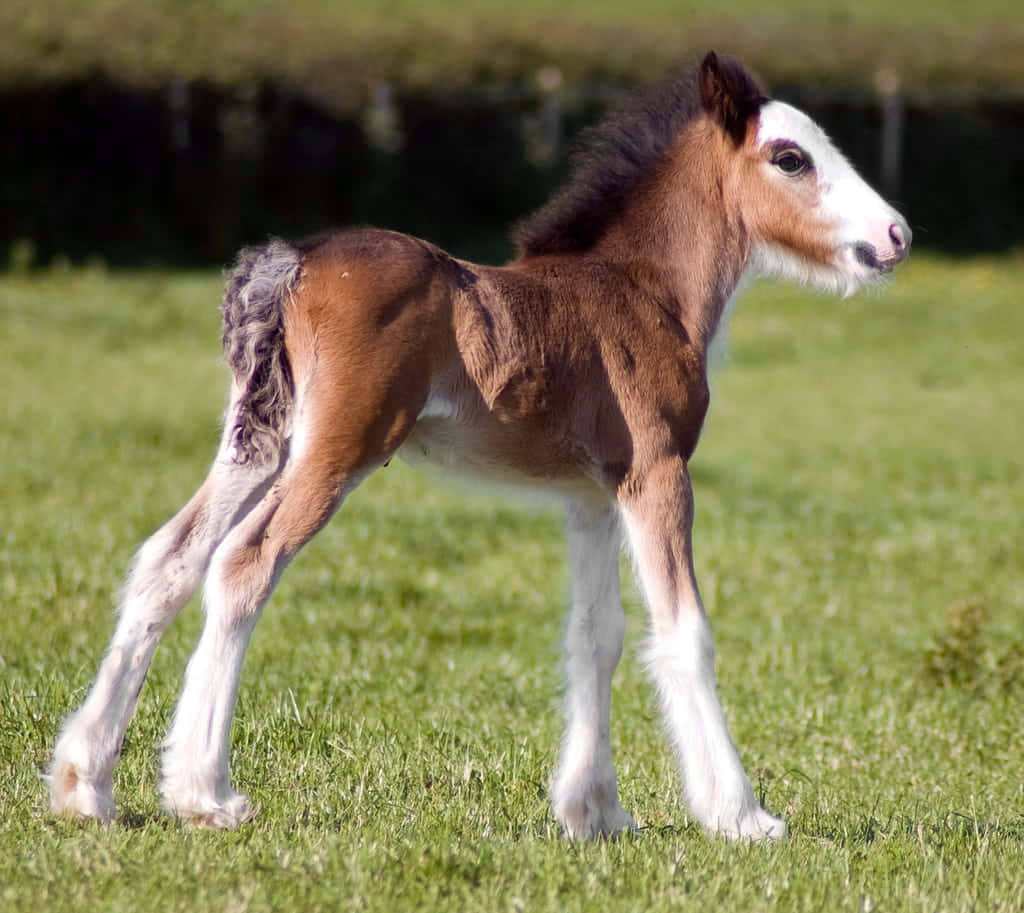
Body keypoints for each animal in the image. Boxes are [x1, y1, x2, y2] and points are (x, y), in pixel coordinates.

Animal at [48, 52, 910, 840]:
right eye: (791, 158)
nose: (896, 234)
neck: (644, 293)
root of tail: (291, 262)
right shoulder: (658, 474)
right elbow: (682, 630)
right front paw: (741, 814)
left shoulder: (593, 496)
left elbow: (596, 635)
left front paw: (595, 811)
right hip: (339, 448)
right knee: (244, 563)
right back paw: (205, 793)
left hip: (259, 440)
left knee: (169, 556)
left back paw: (86, 783)